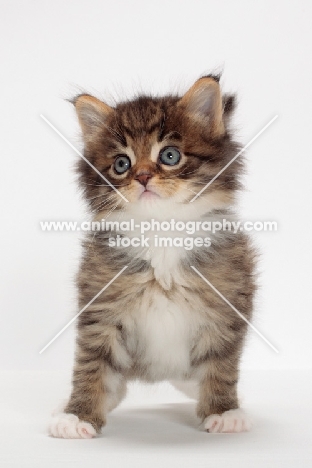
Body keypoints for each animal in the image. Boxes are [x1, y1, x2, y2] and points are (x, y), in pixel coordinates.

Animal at [49, 76, 256, 438]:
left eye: (170, 155)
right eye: (122, 164)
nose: (143, 176)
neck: (161, 230)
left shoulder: (226, 304)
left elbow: (221, 365)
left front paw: (223, 411)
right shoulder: (100, 308)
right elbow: (92, 366)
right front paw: (78, 415)